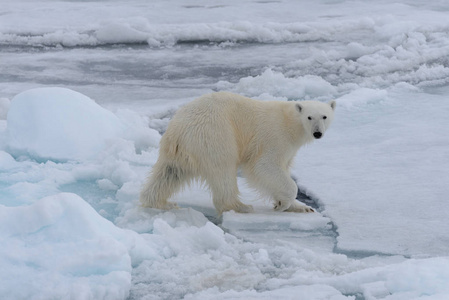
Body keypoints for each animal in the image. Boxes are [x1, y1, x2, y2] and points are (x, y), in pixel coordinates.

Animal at [139, 91, 332, 213]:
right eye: (309, 117)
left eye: (324, 116)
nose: (317, 133)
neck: (290, 122)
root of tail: (177, 130)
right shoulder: (275, 137)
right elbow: (264, 166)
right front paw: (283, 204)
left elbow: (281, 169)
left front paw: (301, 207)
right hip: (215, 134)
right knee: (223, 169)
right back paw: (240, 206)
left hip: (178, 151)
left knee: (169, 173)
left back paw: (161, 202)